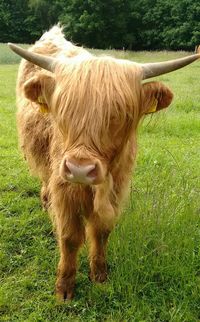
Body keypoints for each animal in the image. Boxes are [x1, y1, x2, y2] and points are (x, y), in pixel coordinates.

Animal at [9, 26, 200, 300]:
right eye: (63, 111)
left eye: (119, 114)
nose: (80, 169)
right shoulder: (65, 187)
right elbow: (69, 237)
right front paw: (64, 288)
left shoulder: (117, 187)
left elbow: (101, 232)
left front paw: (99, 276)